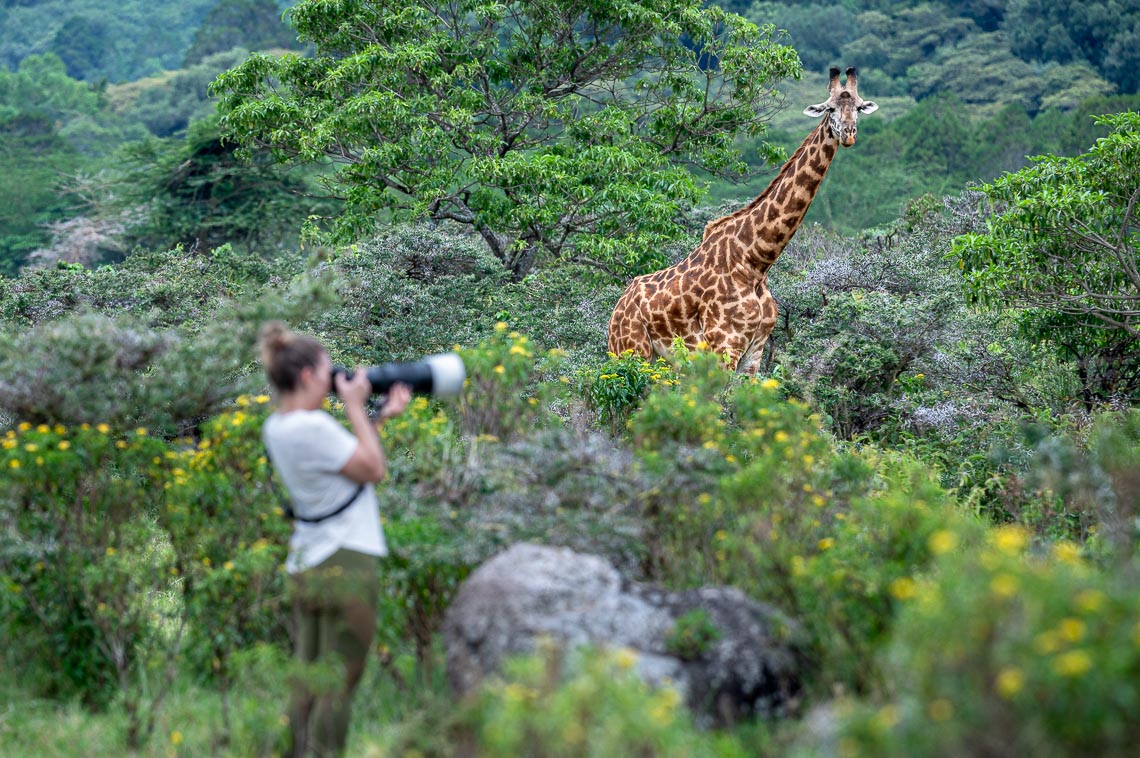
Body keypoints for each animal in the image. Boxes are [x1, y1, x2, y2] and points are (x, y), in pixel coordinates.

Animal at [606, 66, 880, 373]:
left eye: (859, 107)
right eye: (830, 108)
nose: (849, 134)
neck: (756, 262)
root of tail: (617, 308)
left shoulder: (755, 350)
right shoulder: (724, 346)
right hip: (630, 350)